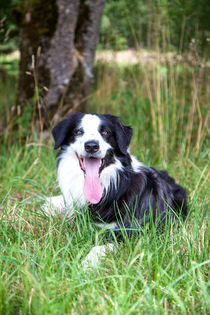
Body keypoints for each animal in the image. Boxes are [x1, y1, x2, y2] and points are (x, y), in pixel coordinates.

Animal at [46, 112, 187, 266]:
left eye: (105, 132)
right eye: (78, 132)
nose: (91, 146)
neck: (110, 185)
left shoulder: (132, 230)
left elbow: (100, 246)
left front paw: (87, 262)